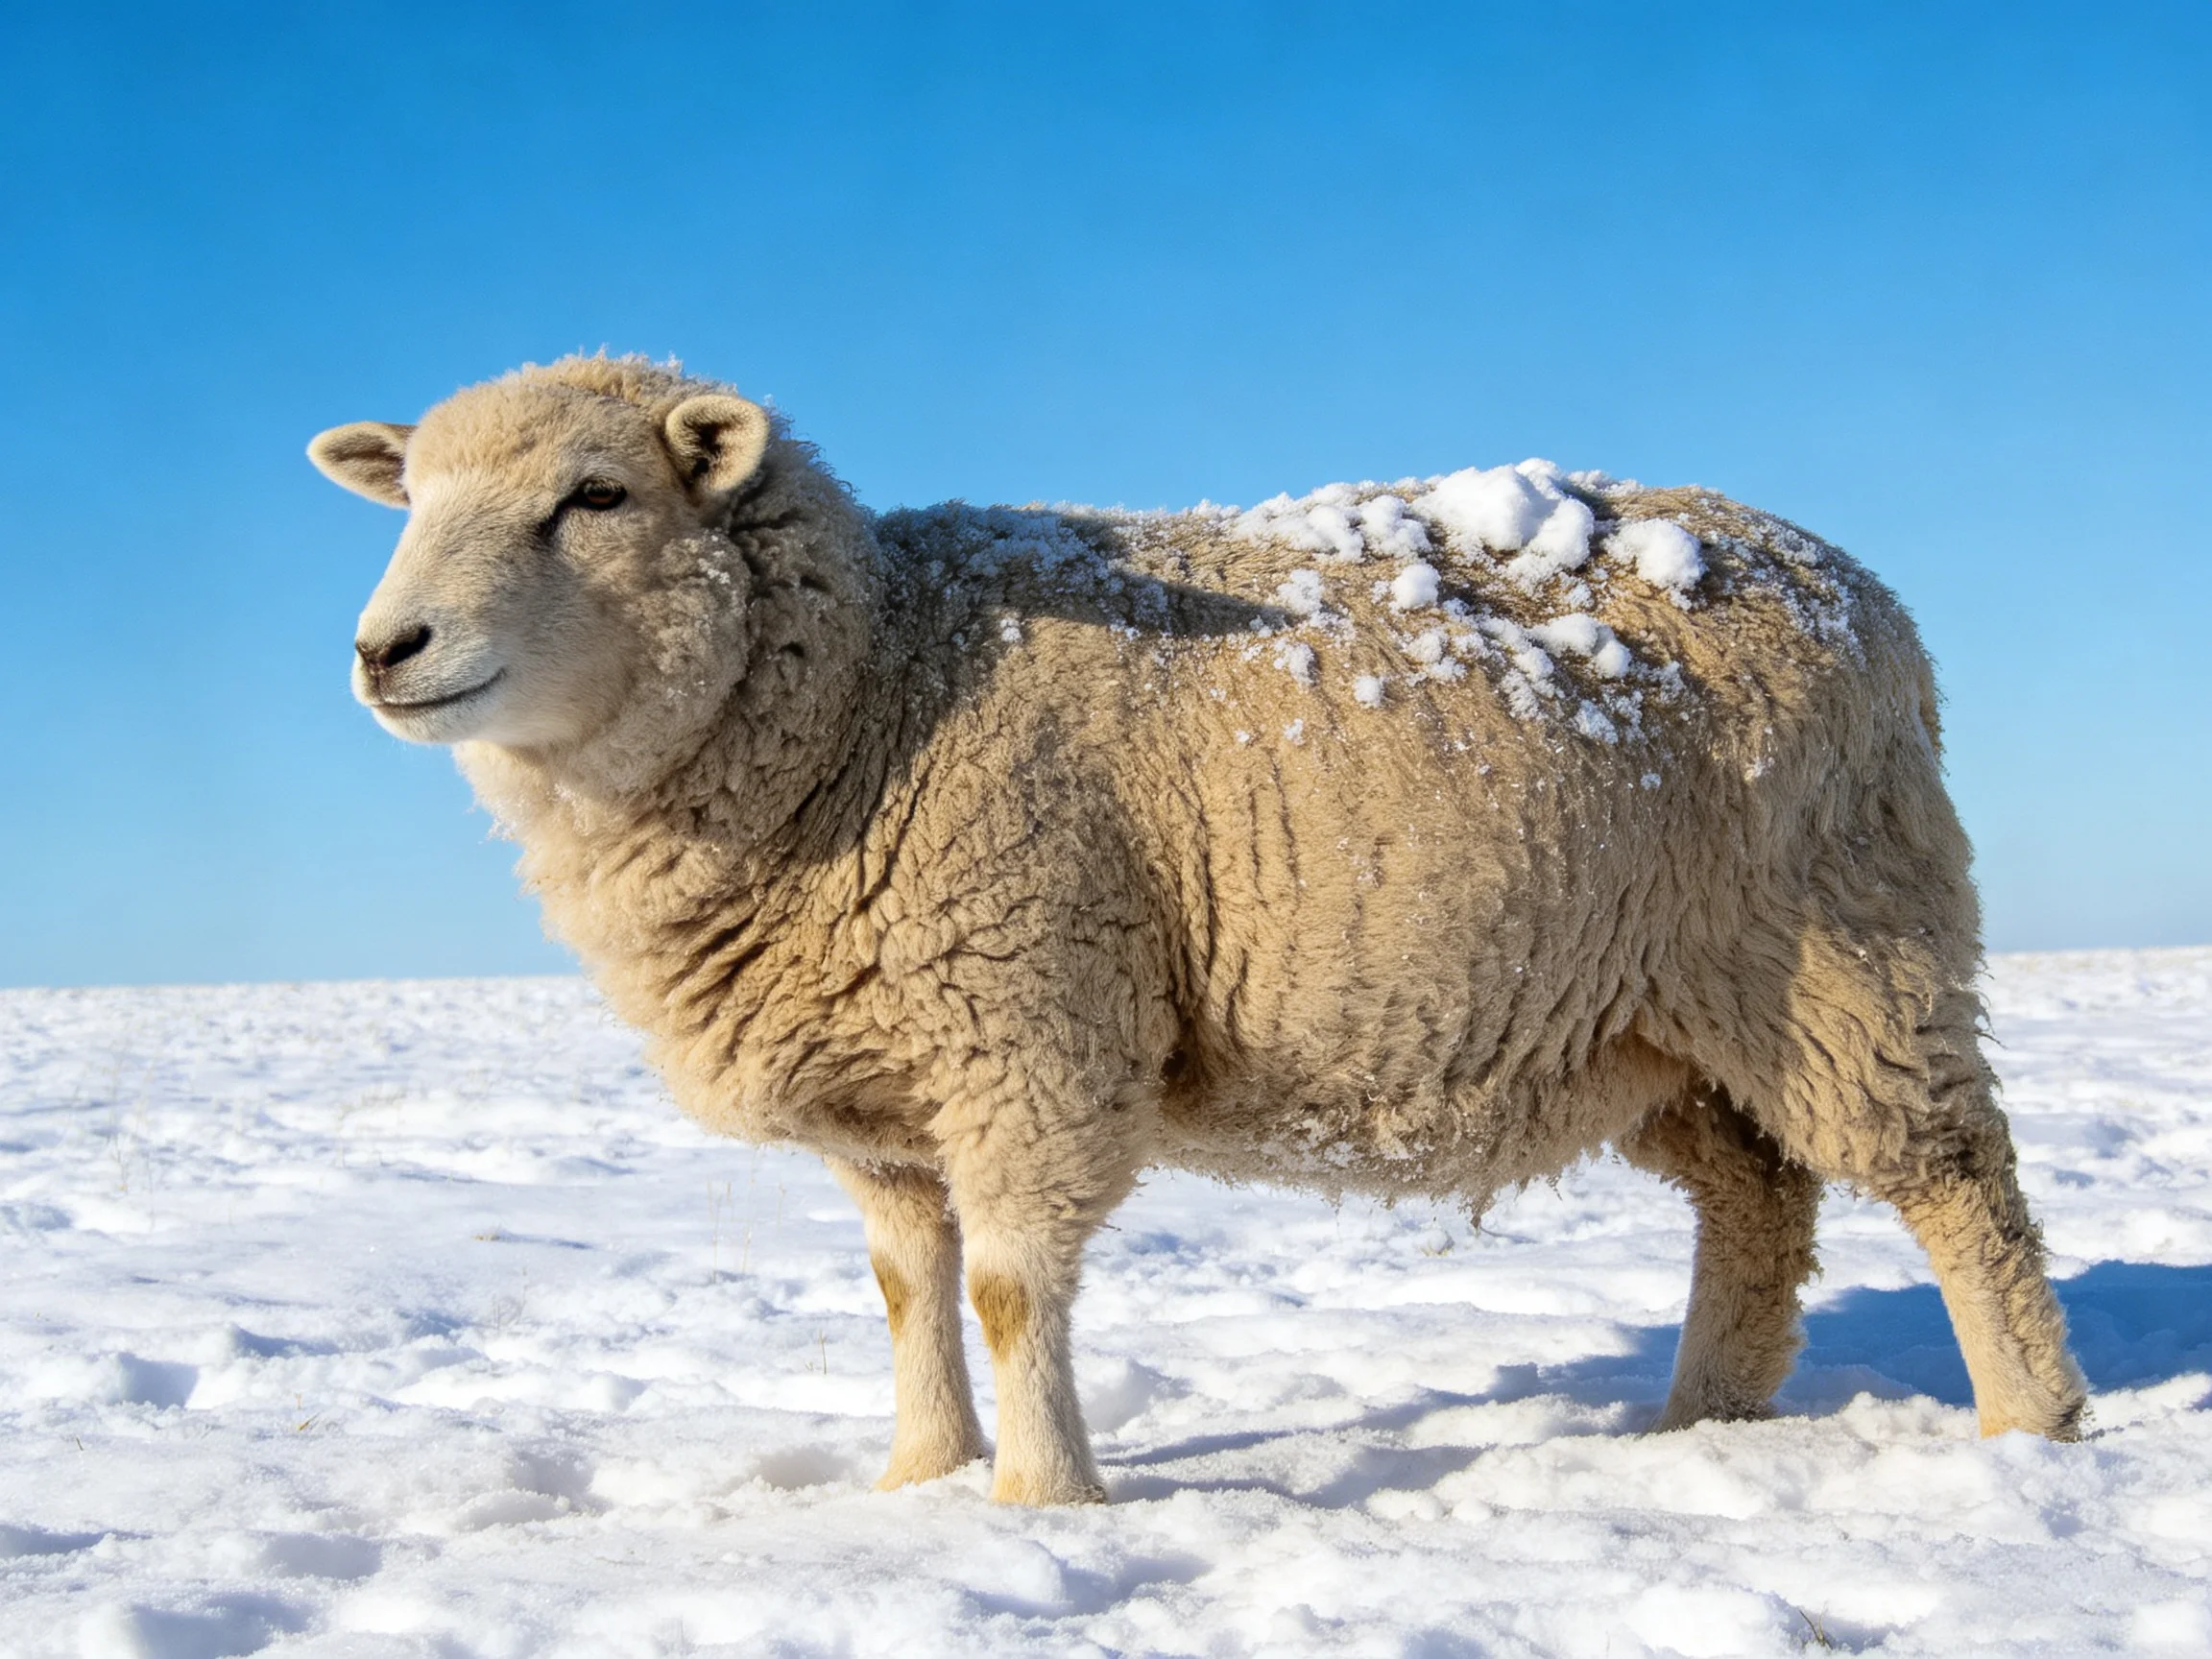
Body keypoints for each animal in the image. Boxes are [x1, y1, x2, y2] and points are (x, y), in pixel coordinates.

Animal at [309, 354, 2087, 1506]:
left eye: (594, 494)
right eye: (413, 498)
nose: (386, 648)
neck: (867, 686)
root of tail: (1859, 590)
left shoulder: (1026, 1021)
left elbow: (1007, 1288)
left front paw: (1037, 1504)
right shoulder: (887, 1091)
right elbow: (905, 1288)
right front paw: (913, 1479)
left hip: (1838, 946)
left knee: (1955, 1177)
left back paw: (2029, 1427)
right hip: (1653, 1015)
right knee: (1760, 1199)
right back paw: (1701, 1421)